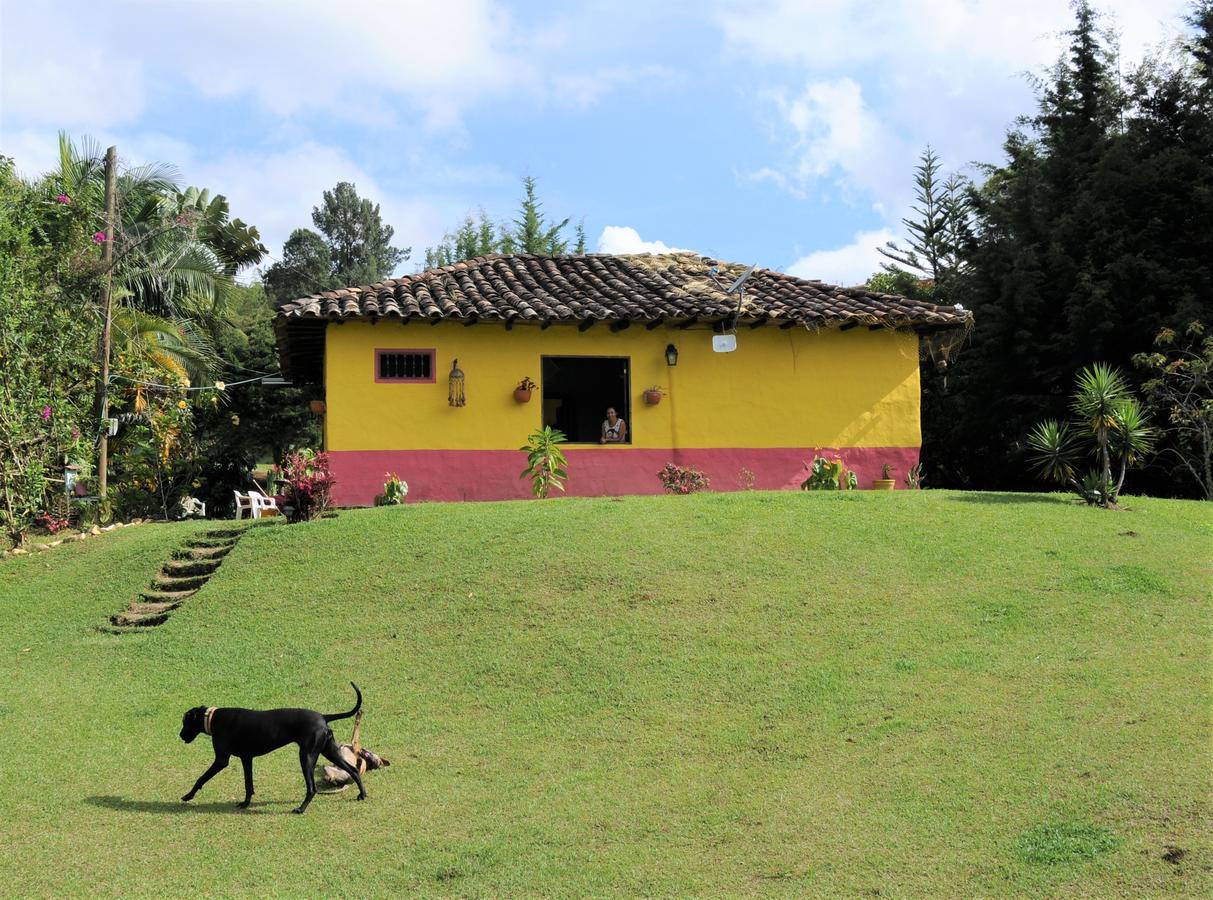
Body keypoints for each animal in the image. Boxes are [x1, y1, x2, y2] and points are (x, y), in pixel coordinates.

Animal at [177, 679, 363, 815]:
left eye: (185, 722)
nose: (180, 735)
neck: (213, 718)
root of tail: (324, 717)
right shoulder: (247, 759)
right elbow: (248, 785)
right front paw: (245, 803)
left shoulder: (221, 760)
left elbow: (201, 778)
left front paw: (188, 796)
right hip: (329, 751)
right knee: (353, 770)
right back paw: (363, 795)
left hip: (307, 757)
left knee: (312, 788)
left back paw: (300, 809)